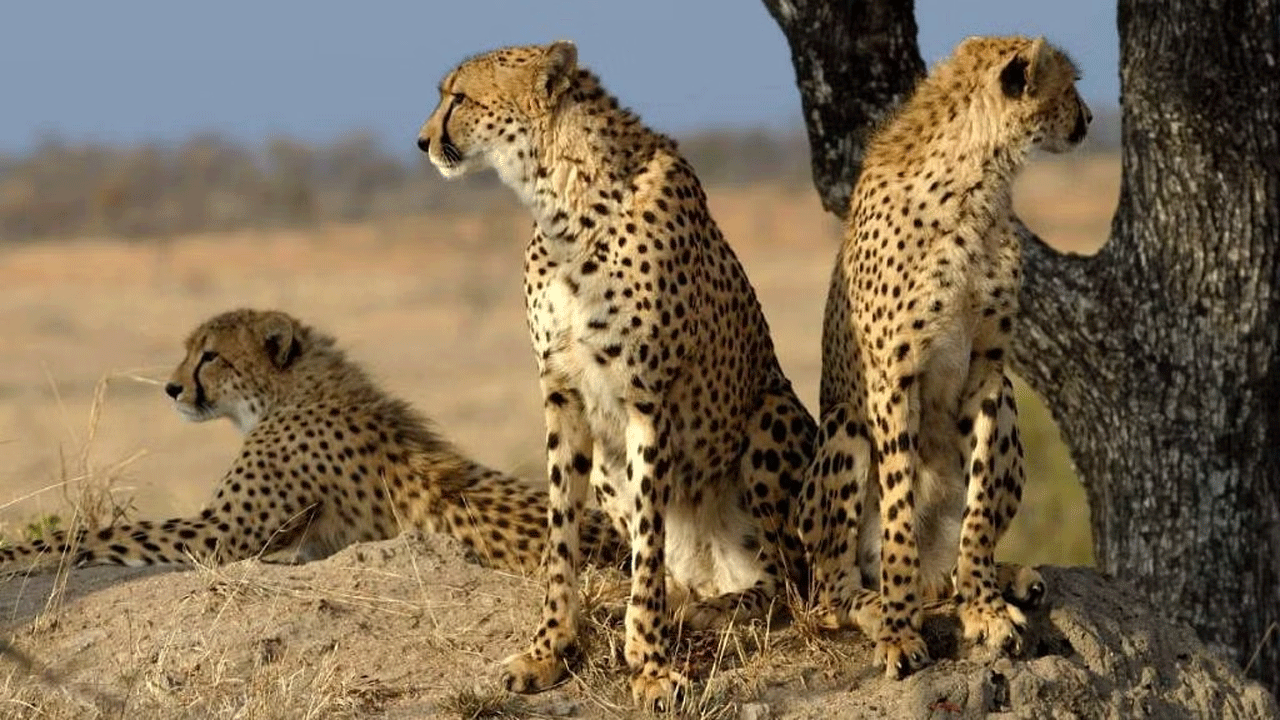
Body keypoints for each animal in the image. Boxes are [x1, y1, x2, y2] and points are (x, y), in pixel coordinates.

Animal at [0, 309, 625, 578]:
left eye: (210, 355)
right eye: (190, 351)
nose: (172, 388)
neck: (291, 392)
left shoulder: (221, 532)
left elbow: (107, 532)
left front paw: (22, 552)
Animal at [417, 41, 816, 708]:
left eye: (459, 97)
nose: (422, 141)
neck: (563, 199)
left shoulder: (645, 398)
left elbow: (649, 541)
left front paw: (650, 665)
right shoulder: (563, 394)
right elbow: (563, 536)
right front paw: (549, 649)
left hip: (770, 416)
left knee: (791, 578)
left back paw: (723, 606)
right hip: (609, 466)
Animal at [797, 35, 1091, 678]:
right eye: (1071, 84)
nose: (1089, 118)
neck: (978, 184)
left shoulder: (988, 370)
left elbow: (977, 512)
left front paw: (983, 606)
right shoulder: (893, 379)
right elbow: (900, 515)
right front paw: (900, 631)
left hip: (1008, 411)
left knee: (949, 562)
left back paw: (998, 577)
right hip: (844, 430)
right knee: (831, 591)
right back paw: (874, 606)